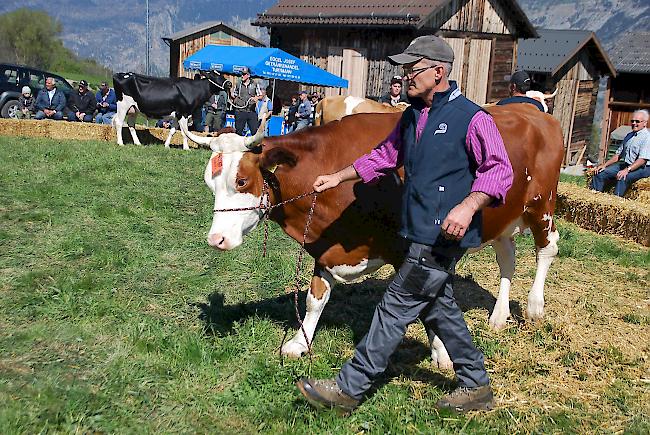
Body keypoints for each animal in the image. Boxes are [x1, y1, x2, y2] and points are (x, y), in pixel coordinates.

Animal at [178, 105, 560, 368]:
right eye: (209, 182)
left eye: (241, 180)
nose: (216, 240)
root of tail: (534, 111)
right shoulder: (324, 245)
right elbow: (316, 298)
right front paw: (300, 342)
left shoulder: (410, 249)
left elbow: (431, 305)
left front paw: (442, 354)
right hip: (505, 215)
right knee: (507, 257)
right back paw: (498, 316)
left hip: (542, 204)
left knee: (547, 248)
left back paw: (534, 307)